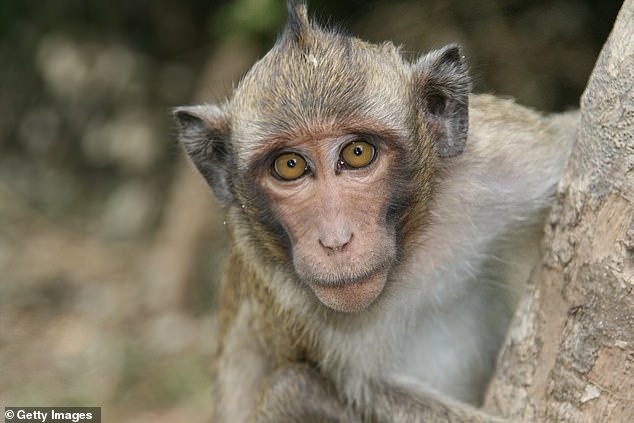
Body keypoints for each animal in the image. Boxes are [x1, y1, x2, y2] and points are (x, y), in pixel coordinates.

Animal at [170, 1, 576, 422]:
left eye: (357, 153)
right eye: (290, 166)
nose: (335, 240)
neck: (409, 246)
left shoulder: (502, 155)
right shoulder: (276, 276)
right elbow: (369, 390)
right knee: (293, 389)